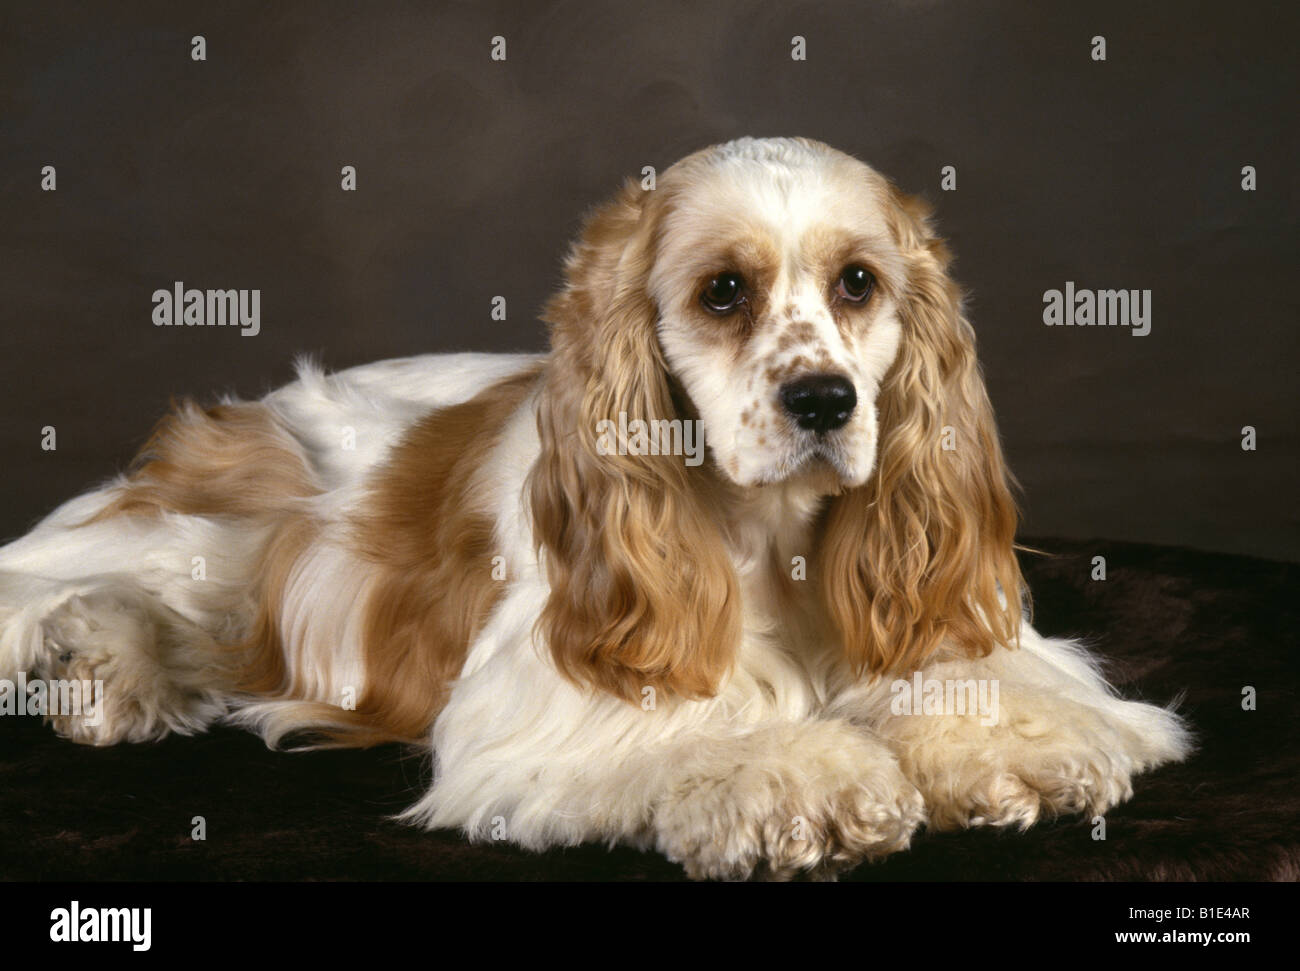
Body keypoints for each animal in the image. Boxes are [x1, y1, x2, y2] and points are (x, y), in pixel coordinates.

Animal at [0, 134, 1190, 878]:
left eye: (859, 281)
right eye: (723, 291)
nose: (823, 399)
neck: (771, 543)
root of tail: (241, 415)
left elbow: (979, 681)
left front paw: (1014, 746)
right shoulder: (544, 698)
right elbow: (705, 726)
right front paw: (802, 778)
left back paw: (109, 674)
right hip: (204, 536)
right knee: (56, 582)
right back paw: (89, 662)